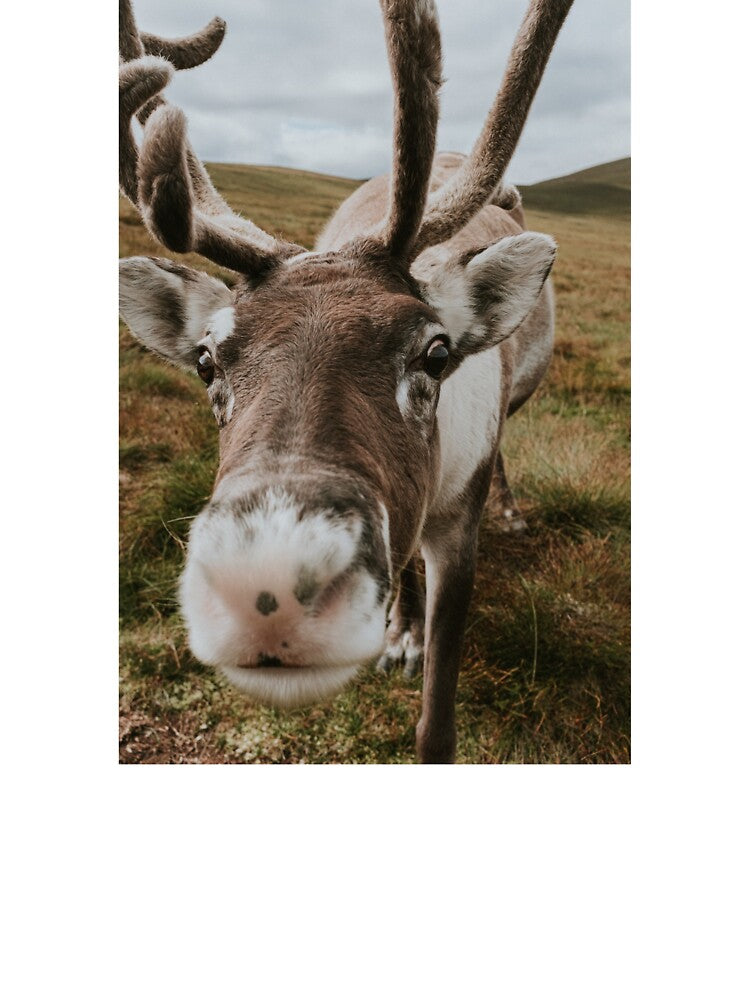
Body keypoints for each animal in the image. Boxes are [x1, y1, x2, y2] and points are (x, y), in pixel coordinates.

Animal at [119, 0, 575, 763]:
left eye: (436, 353)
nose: (267, 589)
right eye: (207, 360)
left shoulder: (459, 526)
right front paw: (403, 636)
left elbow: (436, 723)